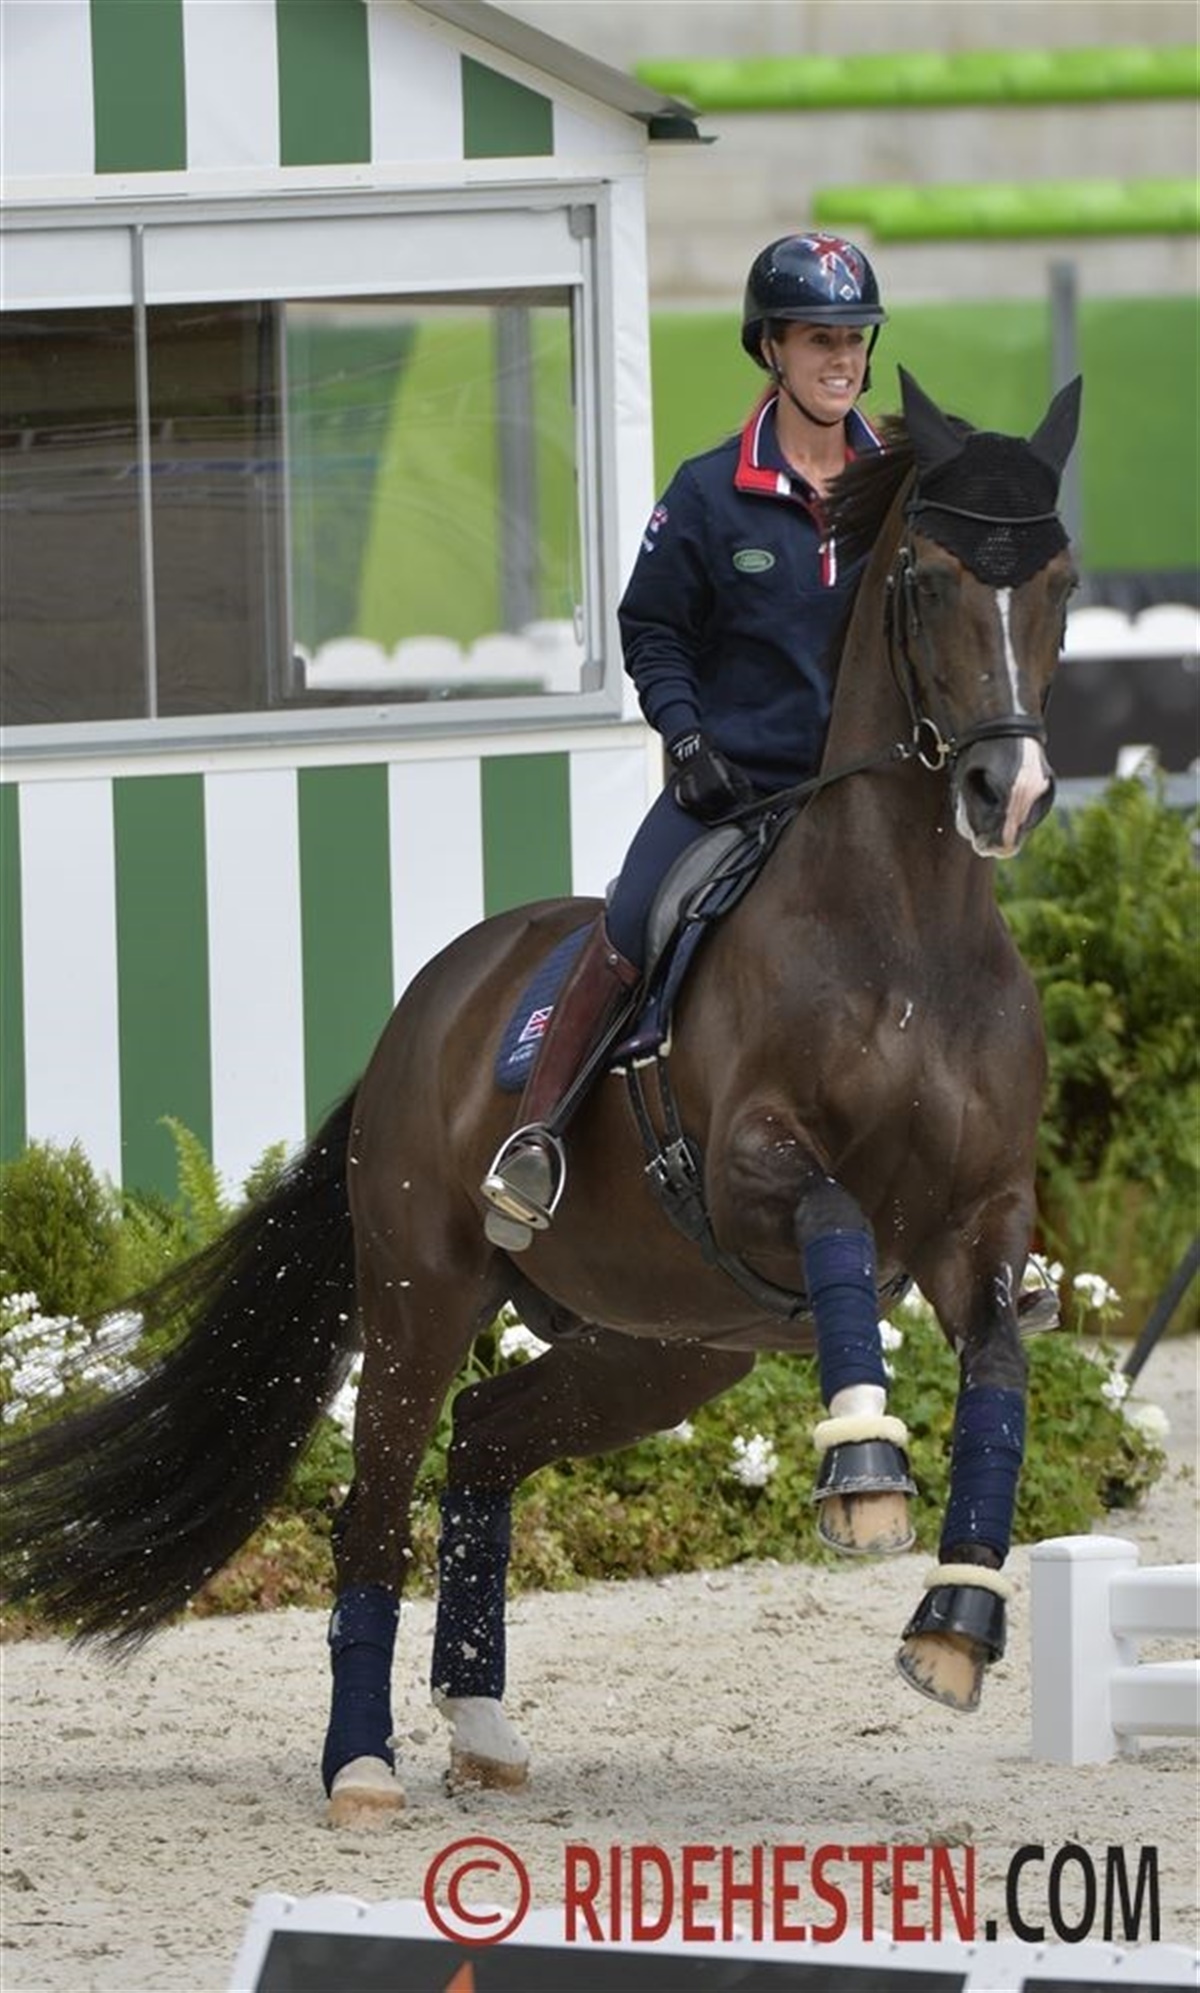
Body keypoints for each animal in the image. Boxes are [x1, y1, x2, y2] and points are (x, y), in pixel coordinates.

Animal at [1, 368, 1081, 1827]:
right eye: (928, 578)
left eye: (1060, 579)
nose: (1004, 790)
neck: (910, 936)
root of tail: (425, 1007)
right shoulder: (750, 1172)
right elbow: (836, 1222)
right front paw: (862, 1468)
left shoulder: (979, 1226)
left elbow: (1006, 1369)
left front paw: (955, 1627)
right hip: (423, 1295)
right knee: (377, 1498)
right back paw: (360, 1764)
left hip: (661, 1346)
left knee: (486, 1440)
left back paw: (479, 1717)